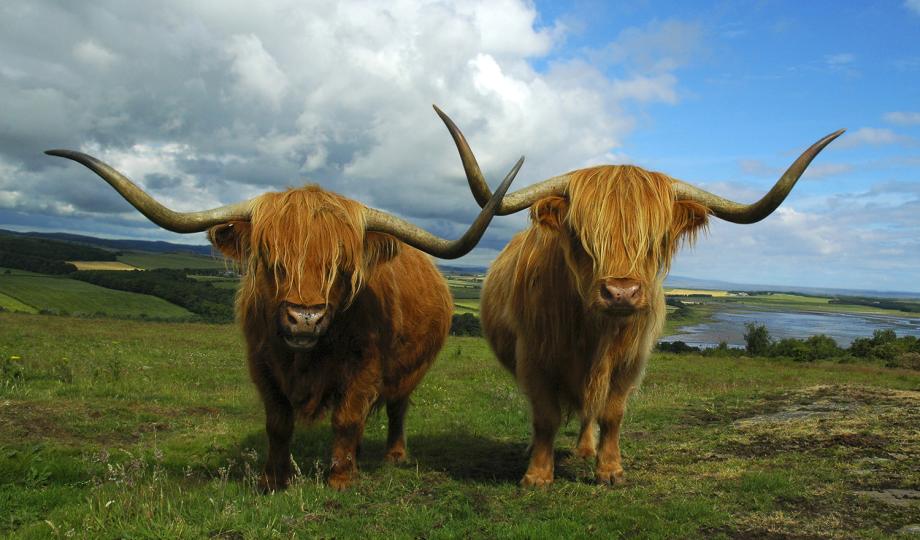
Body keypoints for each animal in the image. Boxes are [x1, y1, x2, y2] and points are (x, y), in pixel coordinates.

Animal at [46, 109, 520, 490]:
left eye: (342, 268)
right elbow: (278, 423)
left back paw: (393, 455)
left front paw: (340, 479)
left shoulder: (366, 366)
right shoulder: (261, 363)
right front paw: (273, 480)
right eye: (271, 260)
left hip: (411, 369)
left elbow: (347, 417)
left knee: (397, 407)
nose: (305, 319)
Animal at [442, 107, 844, 488]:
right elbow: (545, 416)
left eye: (655, 240)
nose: (621, 293)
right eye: (581, 236)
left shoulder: (631, 361)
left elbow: (612, 413)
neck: (594, 334)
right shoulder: (534, 356)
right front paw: (538, 475)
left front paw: (610, 470)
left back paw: (586, 449)